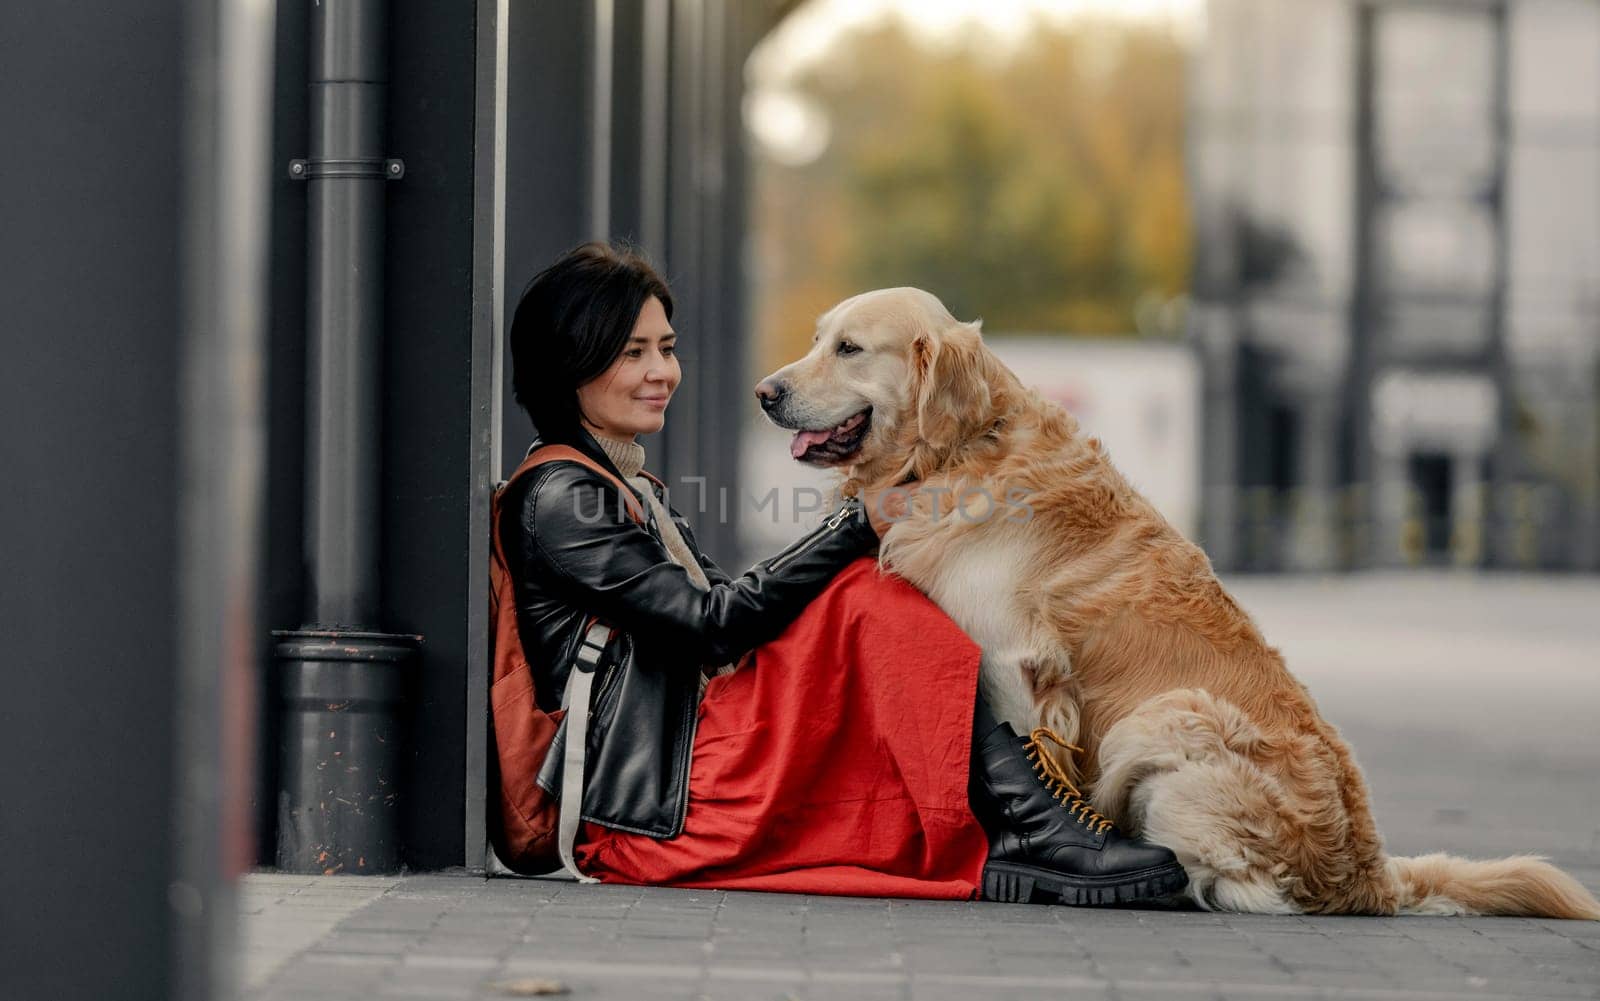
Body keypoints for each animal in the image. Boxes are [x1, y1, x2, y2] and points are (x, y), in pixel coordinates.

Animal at [755, 284, 1600, 914]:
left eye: (849, 348)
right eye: (818, 337)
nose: (765, 391)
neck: (961, 449)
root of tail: (1371, 871)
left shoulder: (1008, 662)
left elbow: (1017, 757)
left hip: (1167, 717)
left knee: (1254, 888)